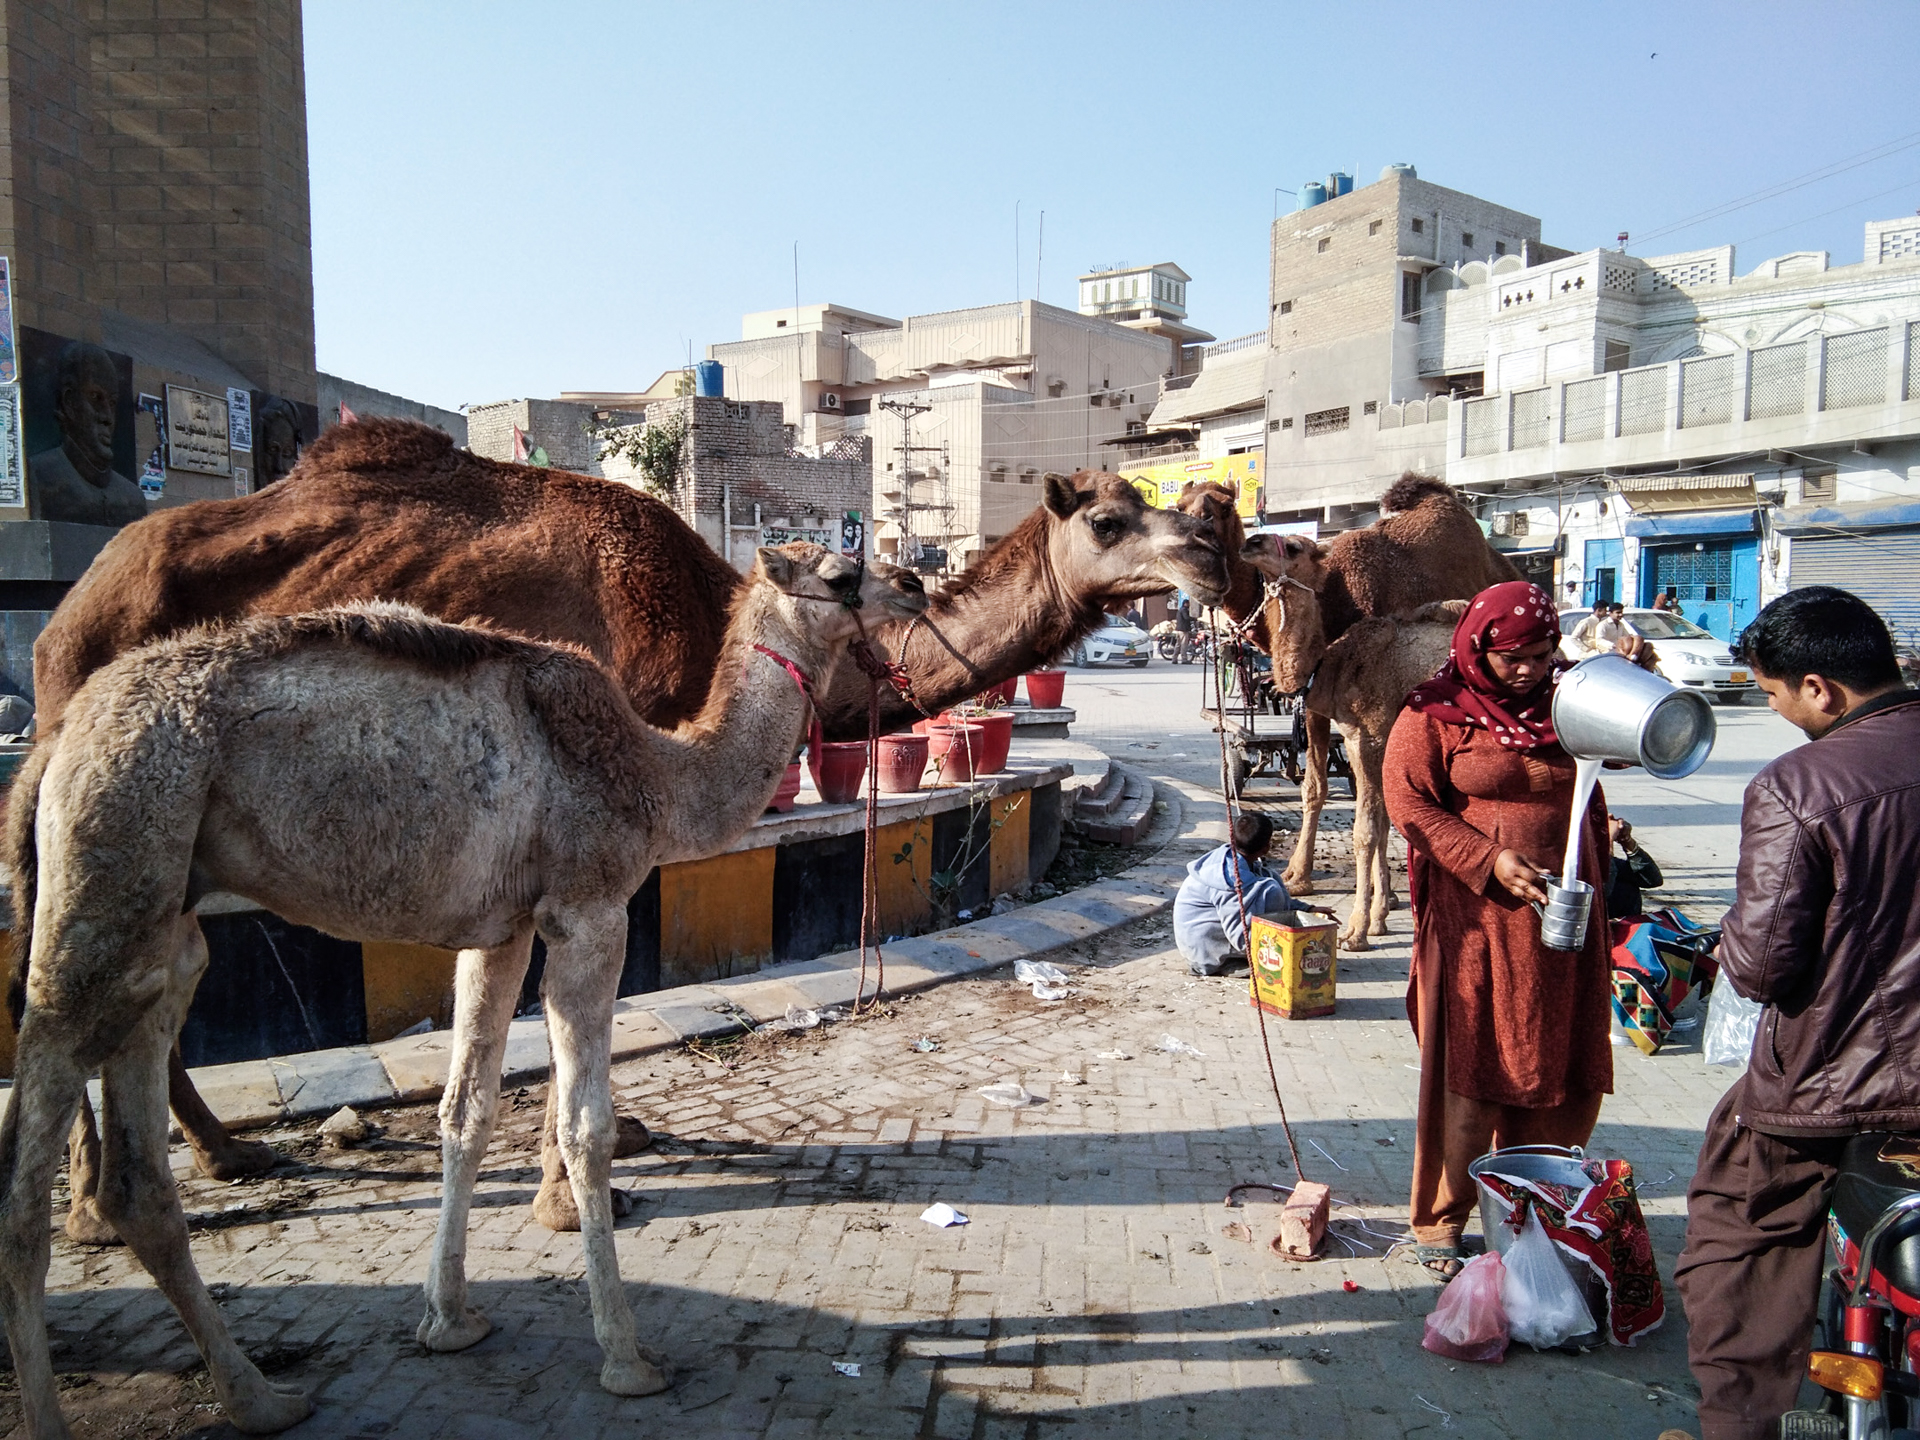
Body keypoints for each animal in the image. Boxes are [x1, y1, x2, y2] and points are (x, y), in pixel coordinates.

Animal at [0, 545, 929, 1436]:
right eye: (843, 575)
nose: (917, 582)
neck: (660, 774)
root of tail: (51, 746)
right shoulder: (589, 909)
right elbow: (584, 1128)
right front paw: (625, 1357)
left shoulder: (502, 929)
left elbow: (467, 1111)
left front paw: (448, 1319)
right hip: (109, 865)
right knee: (28, 1161)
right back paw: (56, 1415)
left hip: (162, 920)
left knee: (140, 1167)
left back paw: (261, 1398)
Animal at [26, 416, 1228, 1244]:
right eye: (1112, 520)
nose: (1215, 547)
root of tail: (66, 606)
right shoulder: (610, 787)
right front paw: (572, 1192)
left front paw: (603, 1151)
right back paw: (99, 1201)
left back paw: (217, 1156)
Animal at [1228, 480, 1512, 952]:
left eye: (1294, 545)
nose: (1250, 541)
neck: (1334, 661)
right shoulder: (1357, 734)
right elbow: (1379, 823)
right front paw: (1377, 915)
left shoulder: (1371, 734)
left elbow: (1367, 829)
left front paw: (1358, 928)